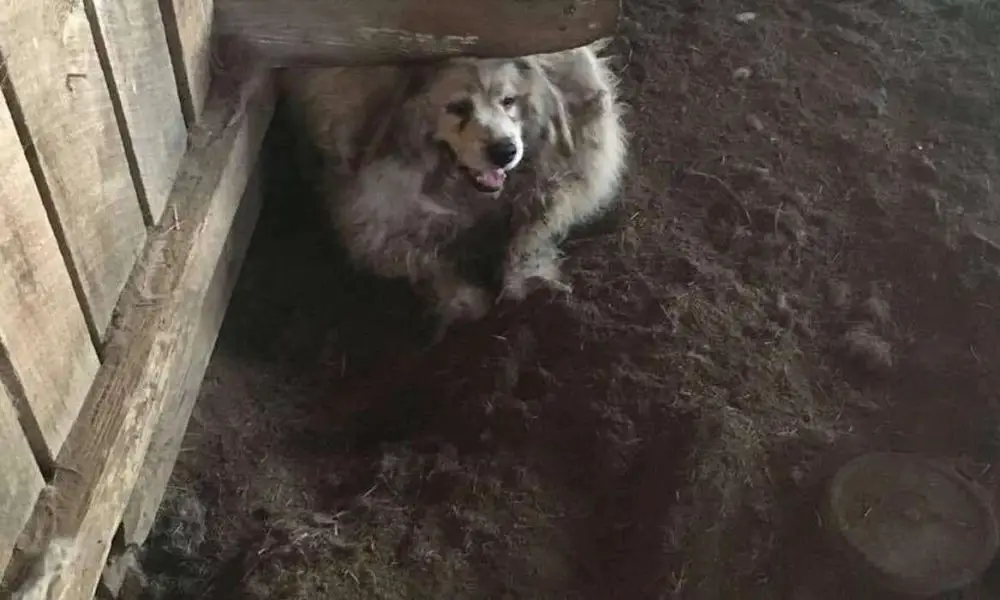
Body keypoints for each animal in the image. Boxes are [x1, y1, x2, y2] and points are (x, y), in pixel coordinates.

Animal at [278, 40, 628, 336]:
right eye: (457, 108)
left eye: (509, 101)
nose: (506, 150)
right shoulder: (378, 224)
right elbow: (428, 261)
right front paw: (463, 300)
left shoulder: (564, 182)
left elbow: (532, 232)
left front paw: (530, 279)